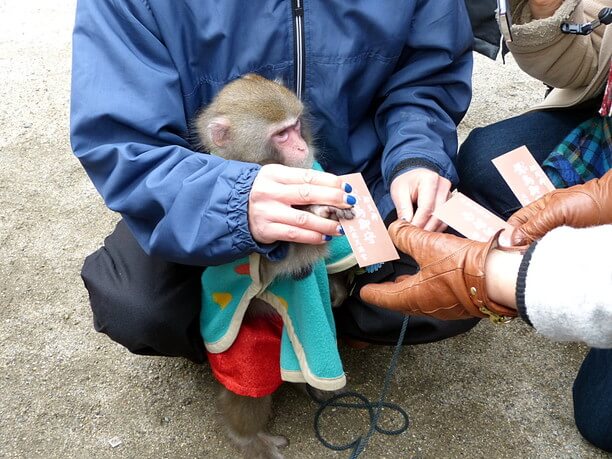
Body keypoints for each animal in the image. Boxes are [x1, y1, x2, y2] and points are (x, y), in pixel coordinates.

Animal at [194, 74, 356, 459]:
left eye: (296, 126)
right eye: (281, 135)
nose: (300, 146)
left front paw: (340, 283)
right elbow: (278, 264)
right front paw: (319, 212)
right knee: (248, 388)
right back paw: (248, 438)